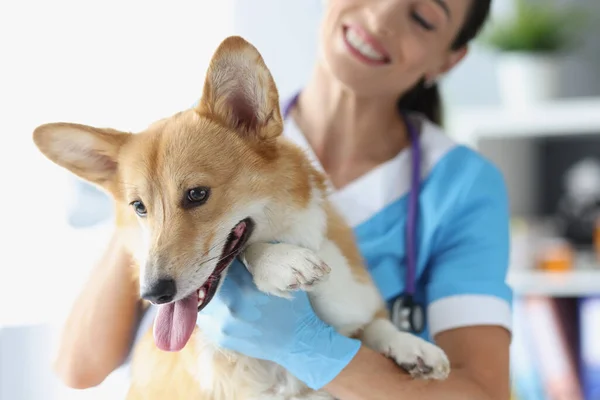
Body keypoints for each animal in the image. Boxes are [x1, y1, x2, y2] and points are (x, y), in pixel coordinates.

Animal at [31, 35, 446, 400]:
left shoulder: (353, 299)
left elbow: (373, 322)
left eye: (197, 194)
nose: (152, 295)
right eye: (139, 207)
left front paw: (412, 346)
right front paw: (281, 262)